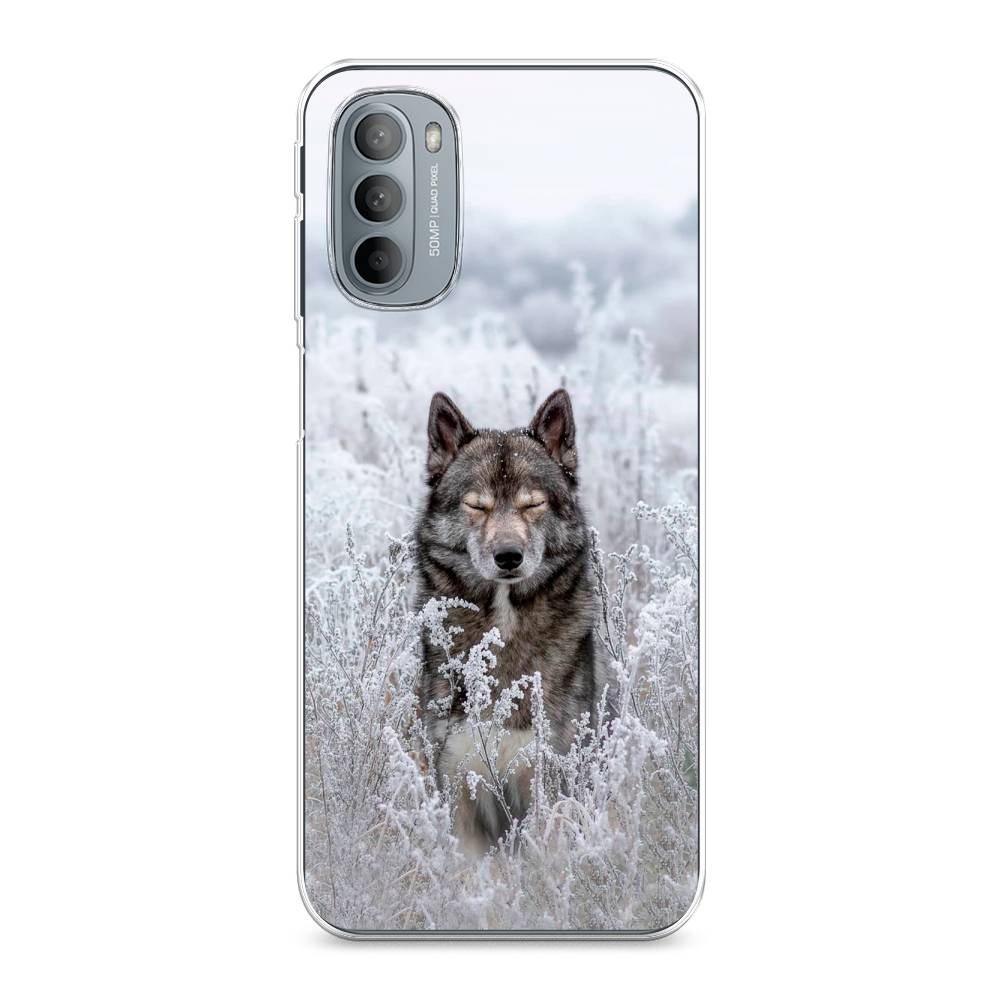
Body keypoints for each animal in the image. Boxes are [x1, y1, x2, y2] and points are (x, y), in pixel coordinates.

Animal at [416, 388, 612, 855]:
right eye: (477, 505)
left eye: (533, 503)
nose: (508, 556)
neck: (504, 629)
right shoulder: (459, 788)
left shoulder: (548, 783)